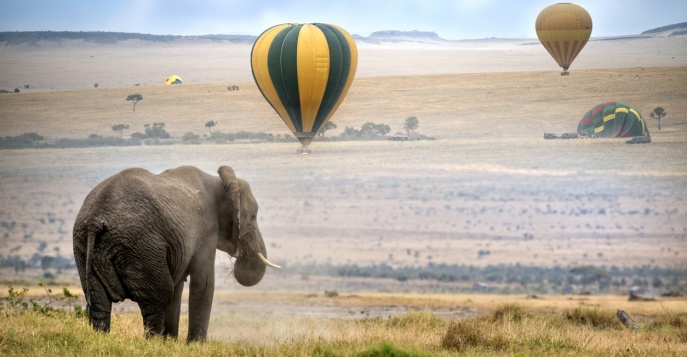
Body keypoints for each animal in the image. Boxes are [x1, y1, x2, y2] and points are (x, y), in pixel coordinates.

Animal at [72, 165, 280, 340]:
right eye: (253, 216)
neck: (218, 181)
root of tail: (95, 220)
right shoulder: (207, 229)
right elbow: (203, 283)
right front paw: (195, 346)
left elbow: (179, 285)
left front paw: (170, 342)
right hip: (140, 245)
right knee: (158, 296)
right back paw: (153, 343)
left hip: (84, 247)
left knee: (98, 301)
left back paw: (102, 338)